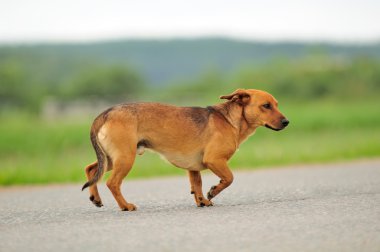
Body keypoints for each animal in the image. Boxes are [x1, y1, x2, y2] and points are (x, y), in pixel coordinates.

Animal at [82, 88, 288, 211]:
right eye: (266, 106)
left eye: (277, 104)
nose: (287, 122)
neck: (230, 119)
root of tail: (104, 114)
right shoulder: (214, 160)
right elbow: (229, 178)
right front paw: (213, 191)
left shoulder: (193, 167)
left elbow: (196, 185)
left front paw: (201, 201)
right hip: (125, 158)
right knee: (112, 183)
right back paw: (125, 206)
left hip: (110, 158)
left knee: (91, 169)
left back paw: (95, 198)